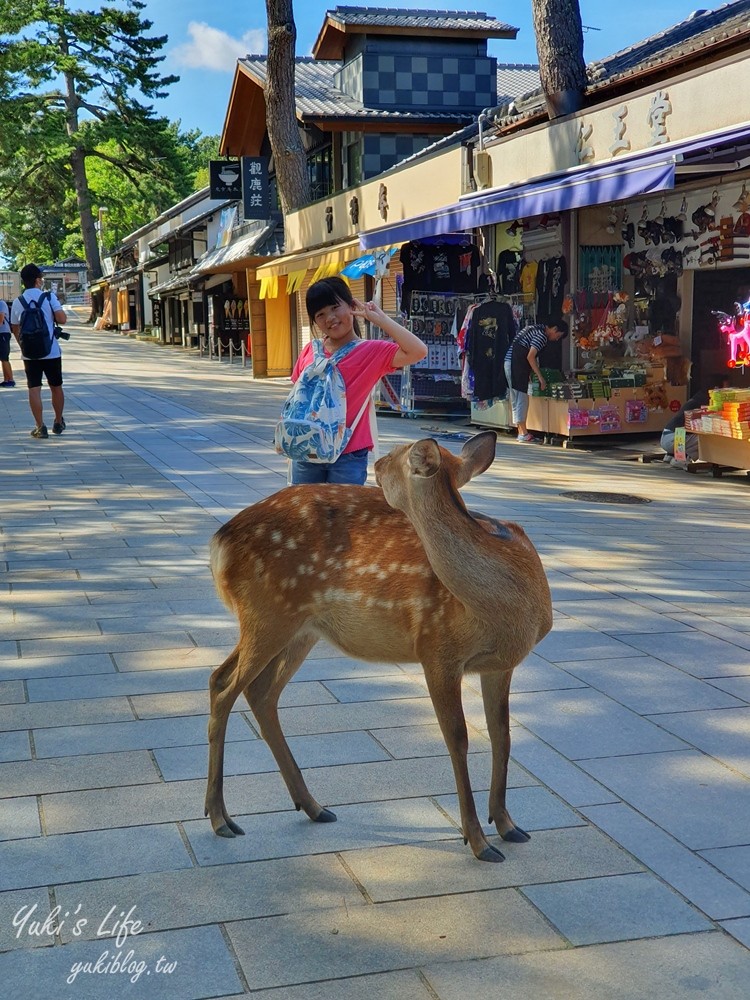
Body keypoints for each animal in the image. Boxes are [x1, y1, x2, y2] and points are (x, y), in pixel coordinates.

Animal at [204, 434, 552, 864]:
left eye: (395, 456)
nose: (376, 464)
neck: (505, 611)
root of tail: (220, 540)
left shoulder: (501, 664)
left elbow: (502, 735)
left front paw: (508, 825)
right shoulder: (435, 647)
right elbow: (458, 739)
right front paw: (477, 841)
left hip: (299, 629)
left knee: (258, 690)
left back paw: (314, 806)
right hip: (266, 612)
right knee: (223, 684)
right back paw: (220, 818)